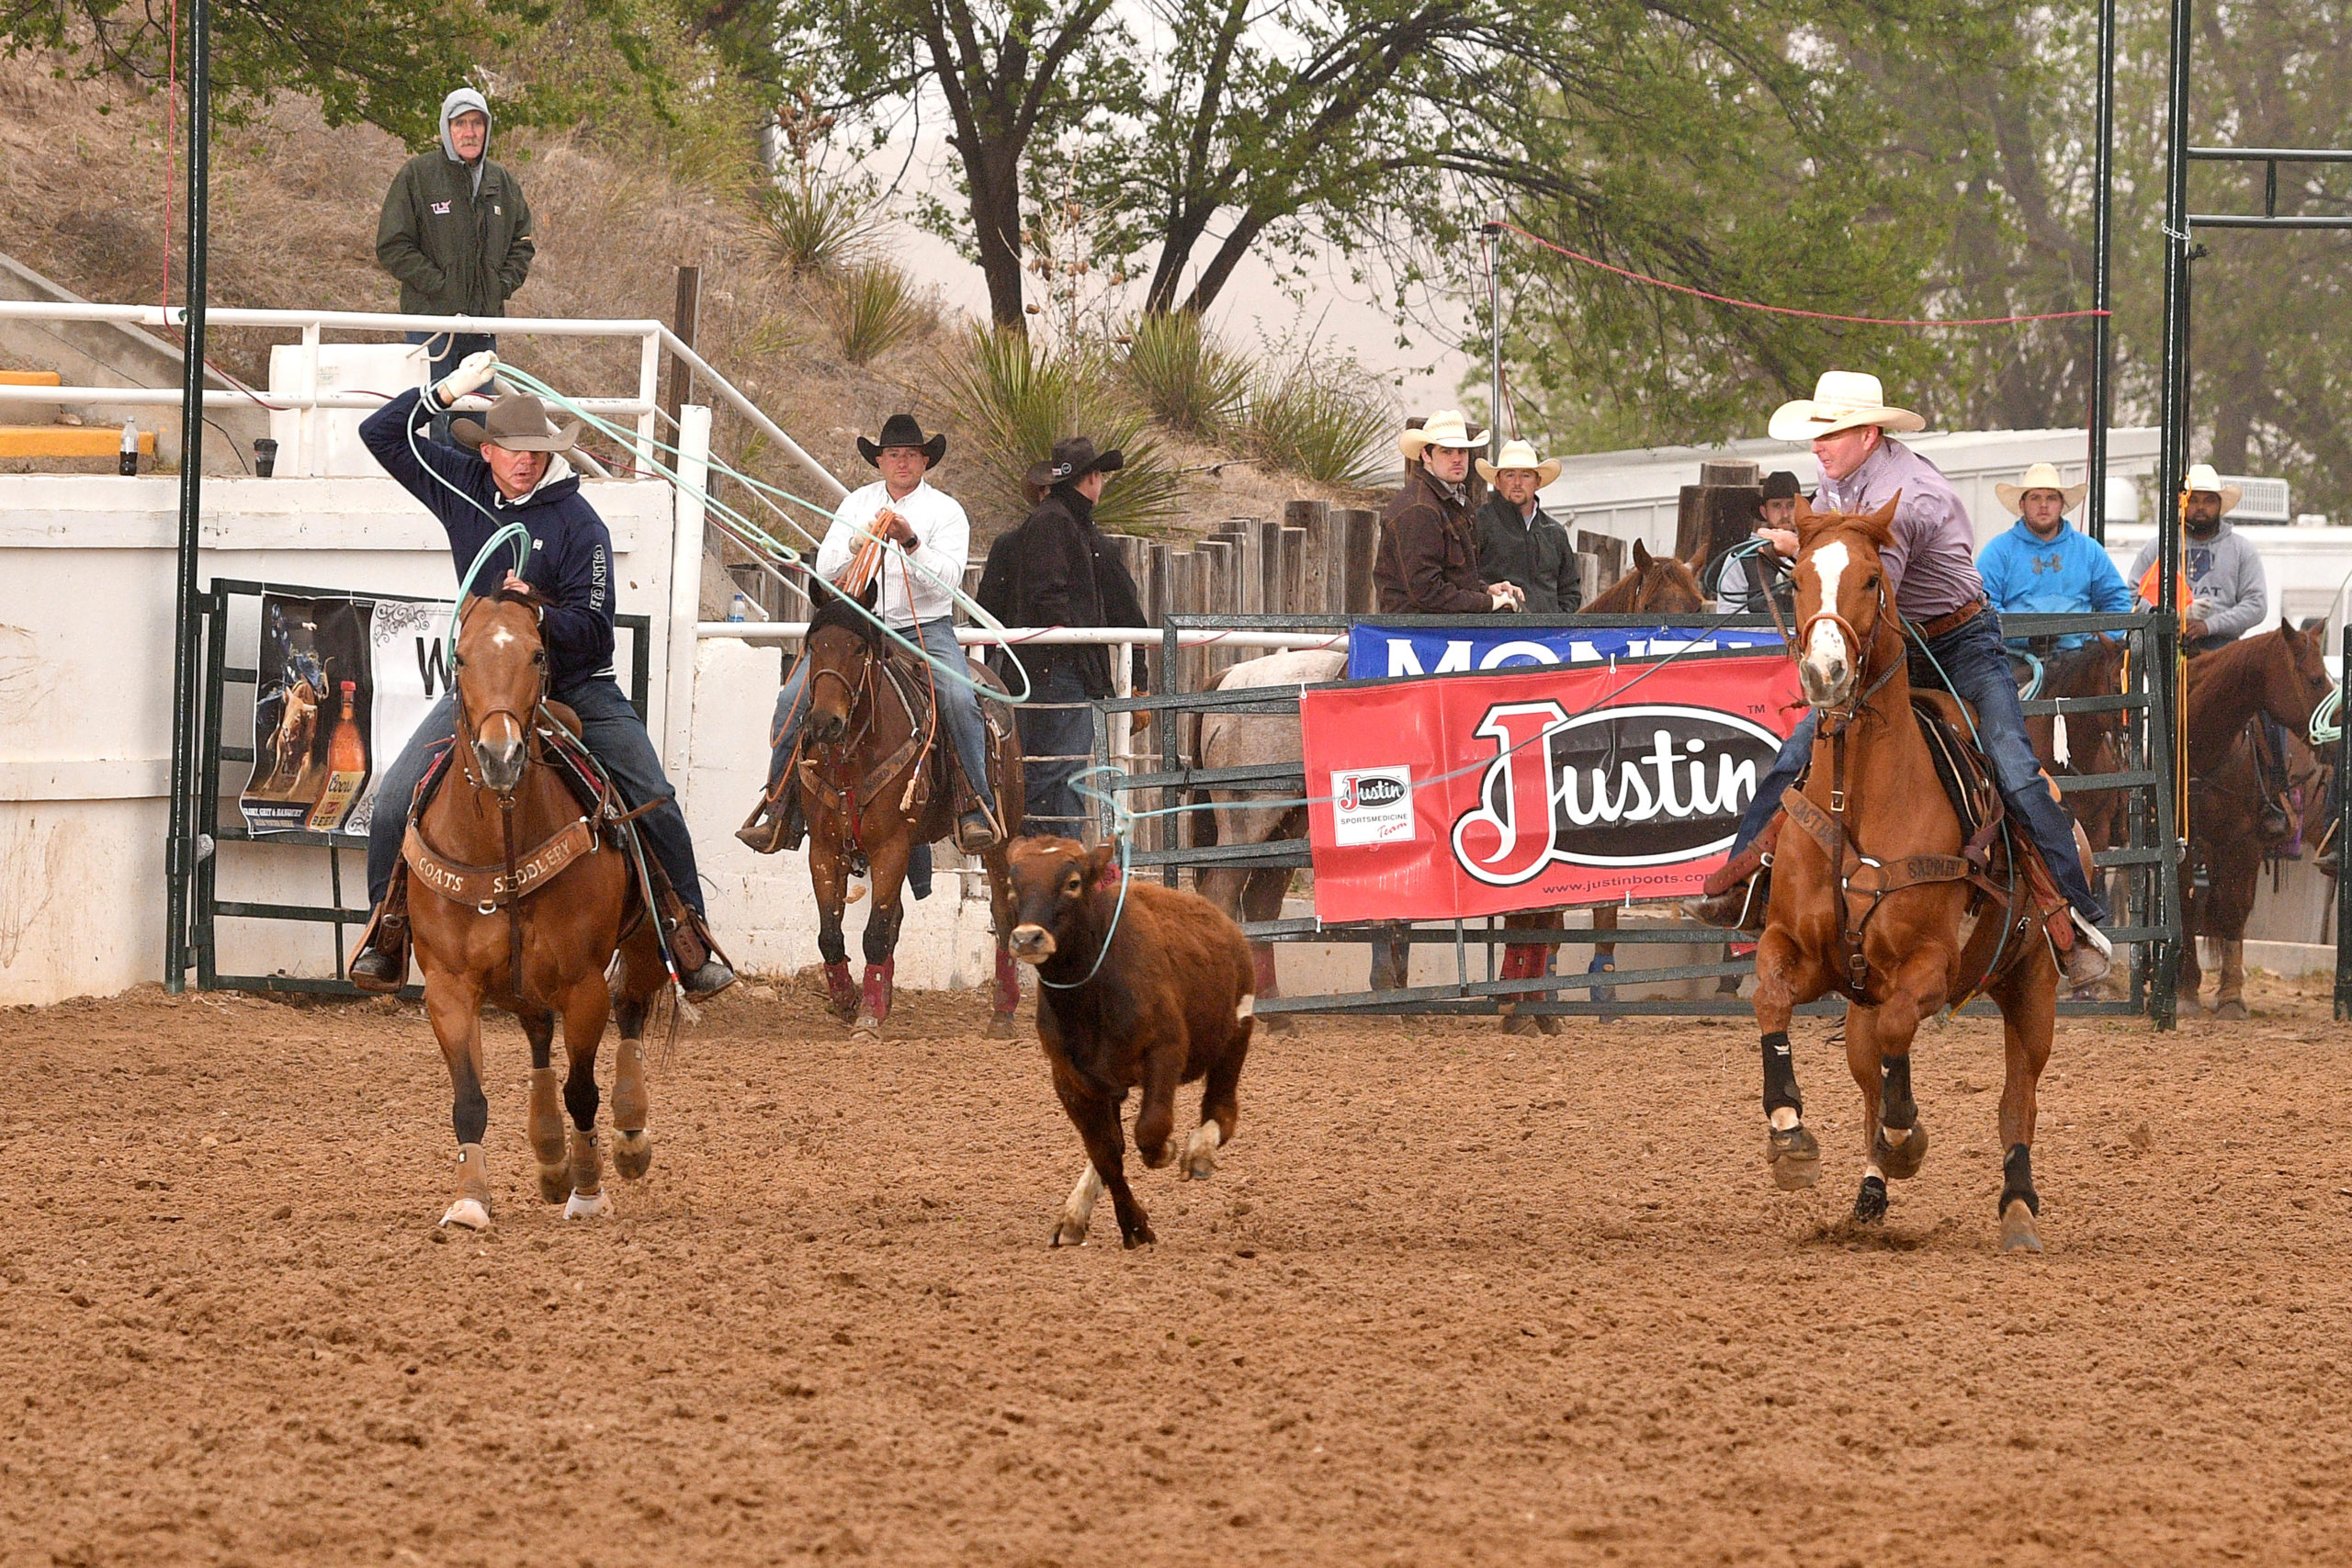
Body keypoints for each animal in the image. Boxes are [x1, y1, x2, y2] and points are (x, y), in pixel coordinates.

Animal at [406, 594, 673, 1232]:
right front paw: (470, 1200)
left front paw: (590, 1191)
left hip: (647, 945)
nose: (500, 755)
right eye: (459, 657)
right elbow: (469, 1099)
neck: (499, 842)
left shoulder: (583, 985)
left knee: (631, 1008)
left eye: (537, 653)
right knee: (537, 1035)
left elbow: (584, 1090)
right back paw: (551, 1158)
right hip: (523, 984)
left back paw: (629, 1136)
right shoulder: (448, 986)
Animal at [795, 582, 1025, 1034]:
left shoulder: (891, 846)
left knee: (1003, 913)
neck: (853, 755)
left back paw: (1004, 1013)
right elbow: (831, 934)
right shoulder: (825, 850)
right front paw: (848, 1000)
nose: (825, 723)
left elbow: (874, 933)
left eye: (858, 647)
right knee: (897, 919)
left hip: (1001, 833)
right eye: (814, 645)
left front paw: (867, 1016)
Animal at [1011, 841, 1270, 1241]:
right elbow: (1105, 1153)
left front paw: (1166, 1151)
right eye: (1013, 885)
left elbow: (1150, 1129)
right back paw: (1074, 1213)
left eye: (1072, 882)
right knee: (1111, 1143)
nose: (1027, 938)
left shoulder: (1165, 1051)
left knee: (1222, 1109)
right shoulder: (1070, 1081)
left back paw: (1199, 1154)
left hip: (1235, 1037)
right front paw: (1132, 1225)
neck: (1089, 997)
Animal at [1758, 495, 2069, 1259]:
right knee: (1871, 1077)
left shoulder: (1930, 965)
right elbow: (1769, 999)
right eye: (1797, 578)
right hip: (1861, 1009)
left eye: (1873, 577)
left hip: (2033, 990)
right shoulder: (1803, 951)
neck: (1860, 798)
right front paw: (1790, 1133)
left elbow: (1905, 1029)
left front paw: (1908, 1136)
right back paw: (1869, 1194)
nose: (1826, 672)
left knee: (2017, 1102)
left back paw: (2018, 1210)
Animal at [2164, 625, 2333, 1020]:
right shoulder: (2185, 841)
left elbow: (2233, 907)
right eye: (2316, 679)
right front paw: (2187, 990)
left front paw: (2230, 996)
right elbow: (2186, 907)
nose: (2338, 726)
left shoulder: (2242, 841)